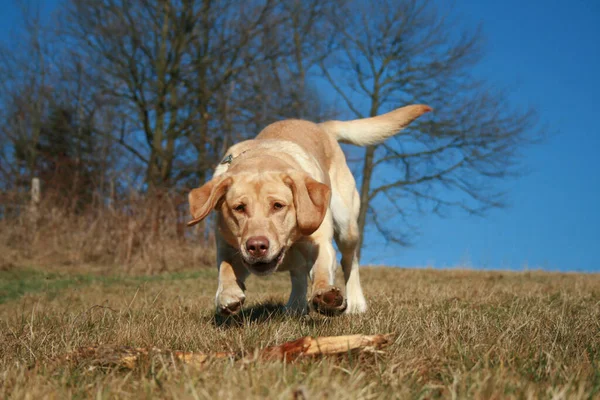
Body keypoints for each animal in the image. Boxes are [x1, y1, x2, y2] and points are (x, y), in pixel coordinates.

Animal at [190, 104, 428, 318]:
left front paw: (325, 294)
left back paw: (356, 303)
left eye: (278, 205)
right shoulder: (227, 246)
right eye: (239, 208)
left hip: (346, 226)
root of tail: (321, 126)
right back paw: (295, 306)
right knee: (298, 273)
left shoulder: (320, 242)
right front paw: (227, 295)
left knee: (349, 261)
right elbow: (225, 268)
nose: (256, 246)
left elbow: (322, 270)